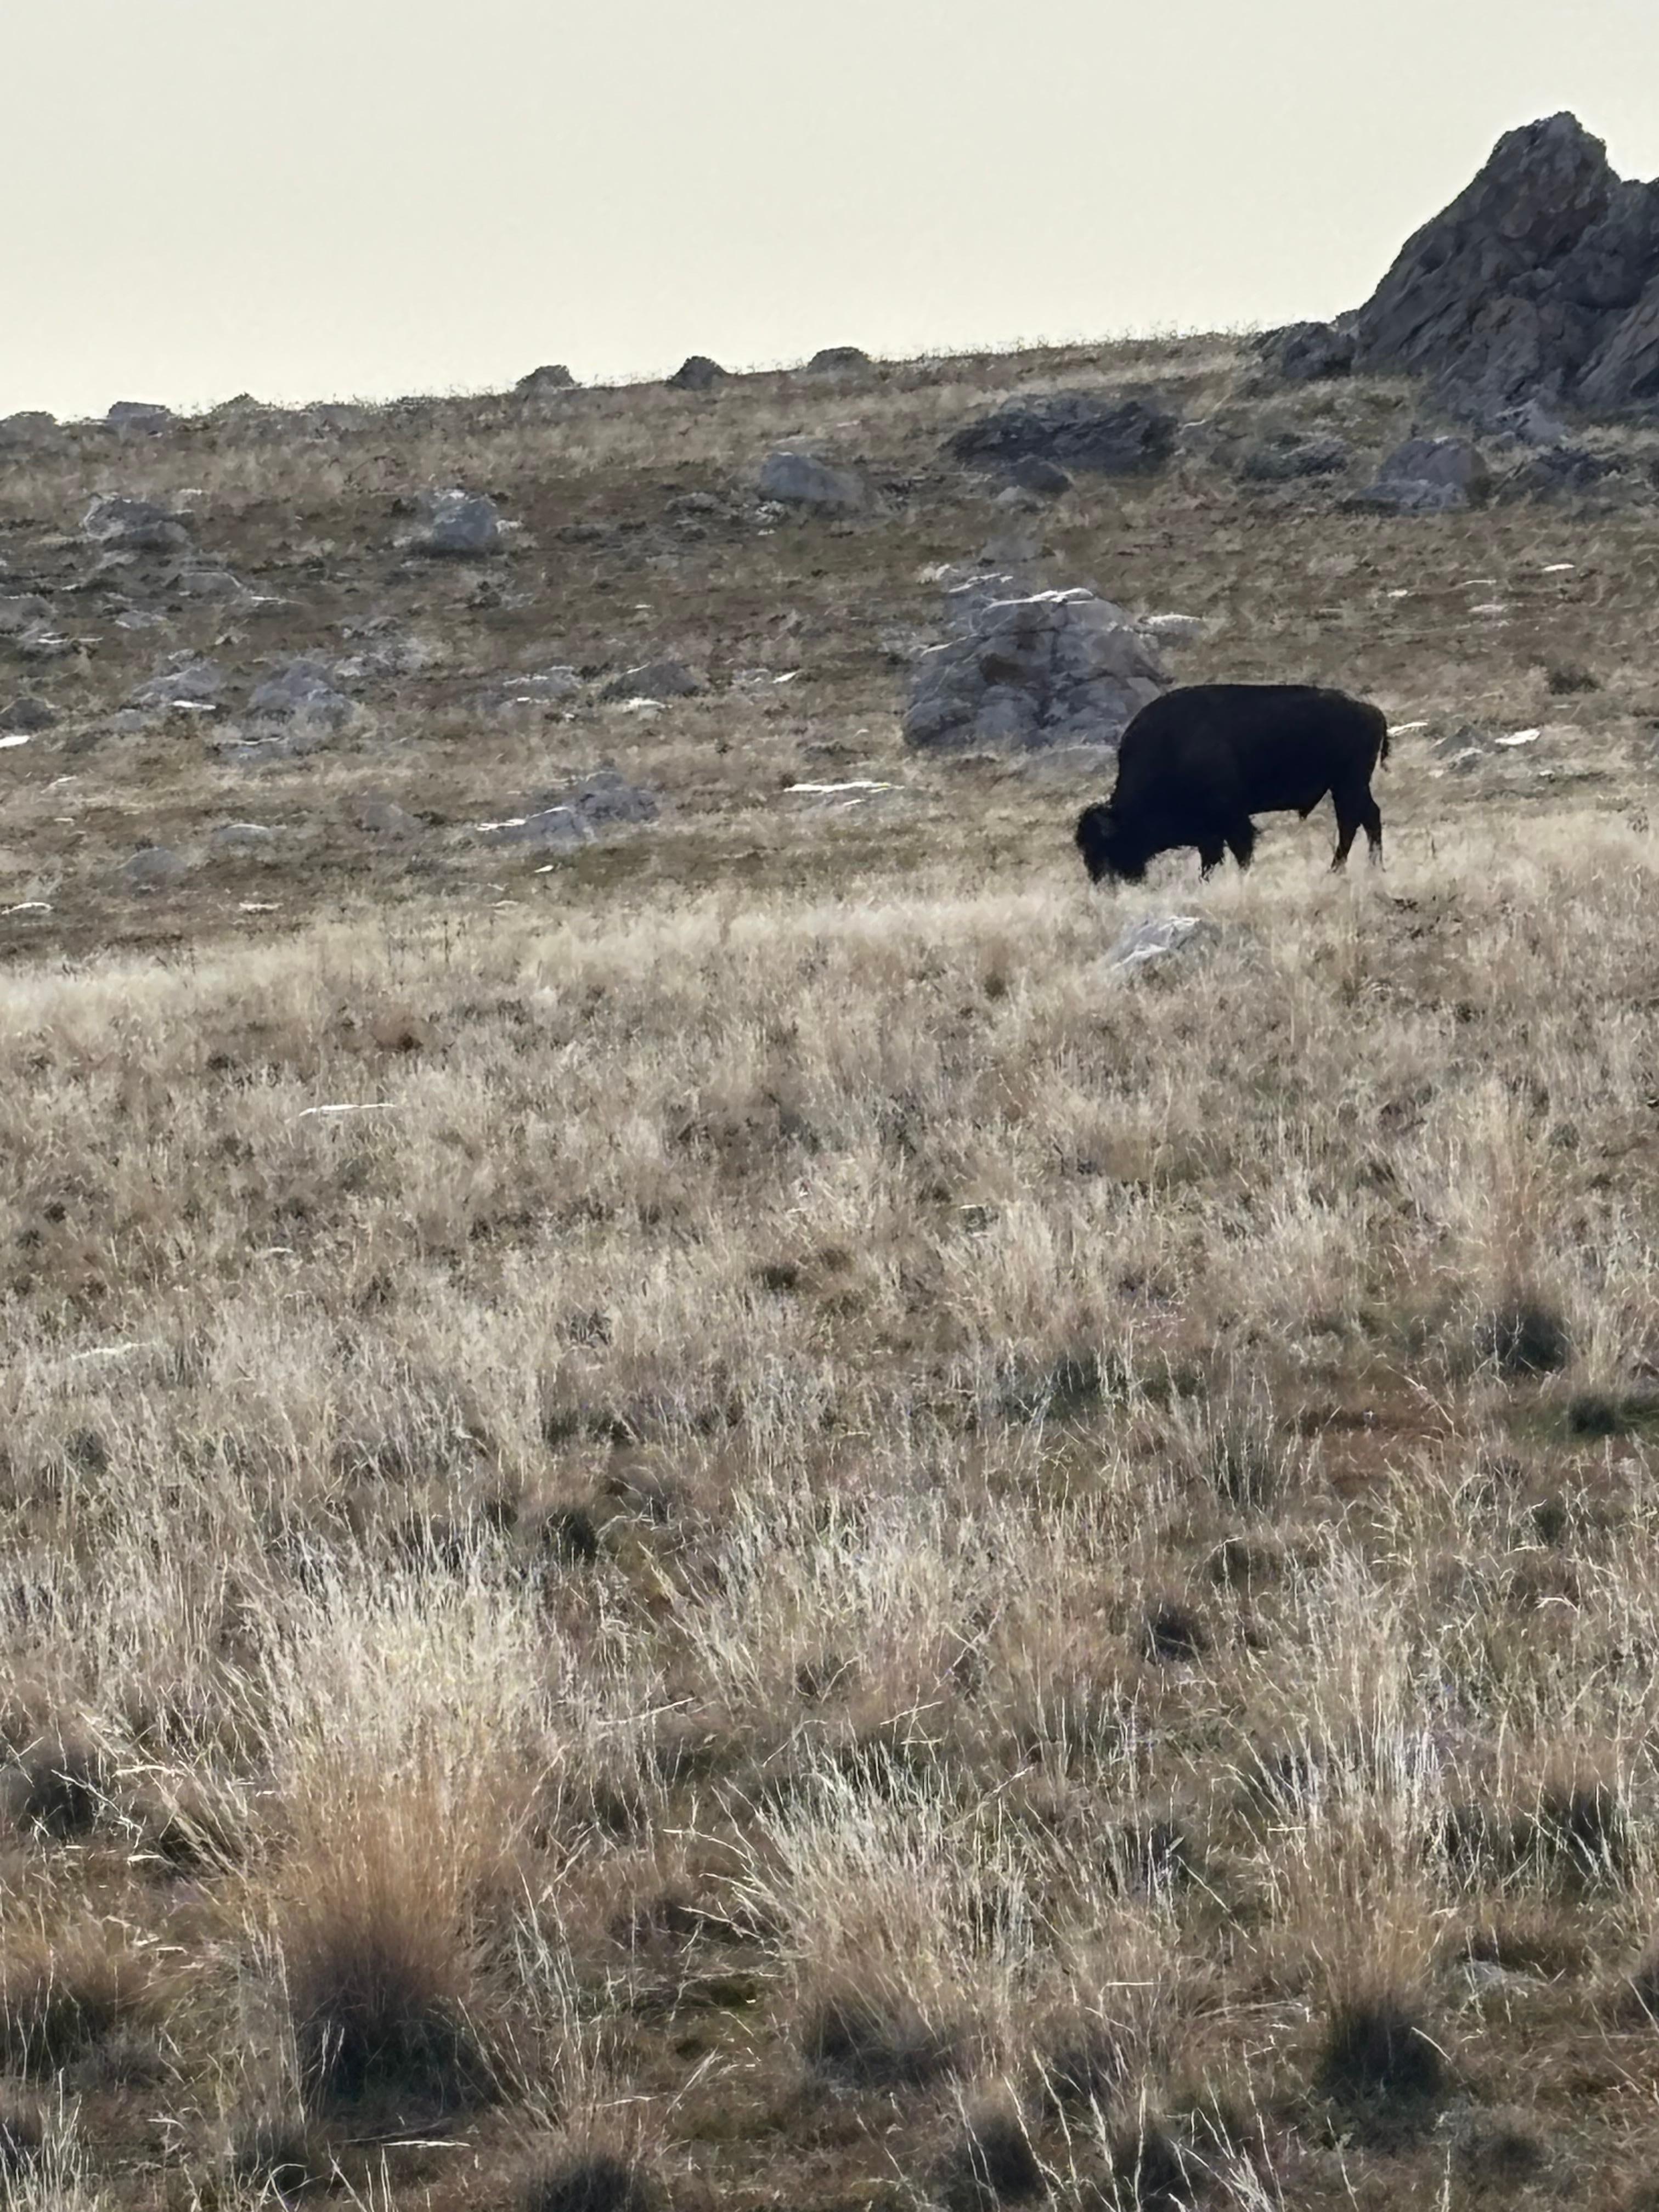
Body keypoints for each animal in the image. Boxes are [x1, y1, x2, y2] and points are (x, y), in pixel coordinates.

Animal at [1074, 683, 1390, 884]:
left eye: (1107, 846)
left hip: (1348, 784)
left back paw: (1346, 869)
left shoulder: (1231, 821)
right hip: (1346, 787)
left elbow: (1241, 853)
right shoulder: (1209, 834)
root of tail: (1371, 711)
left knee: (1357, 820)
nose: (1103, 884)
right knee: (1362, 819)